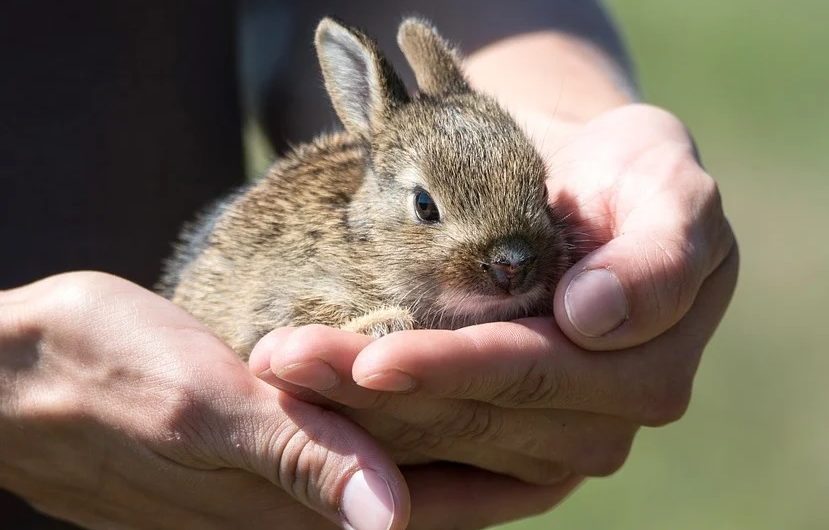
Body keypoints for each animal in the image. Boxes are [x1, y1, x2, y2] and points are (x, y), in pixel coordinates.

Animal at [163, 17, 576, 354]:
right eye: (424, 205)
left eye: (542, 189)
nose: (513, 264)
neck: (370, 247)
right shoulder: (277, 302)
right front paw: (384, 324)